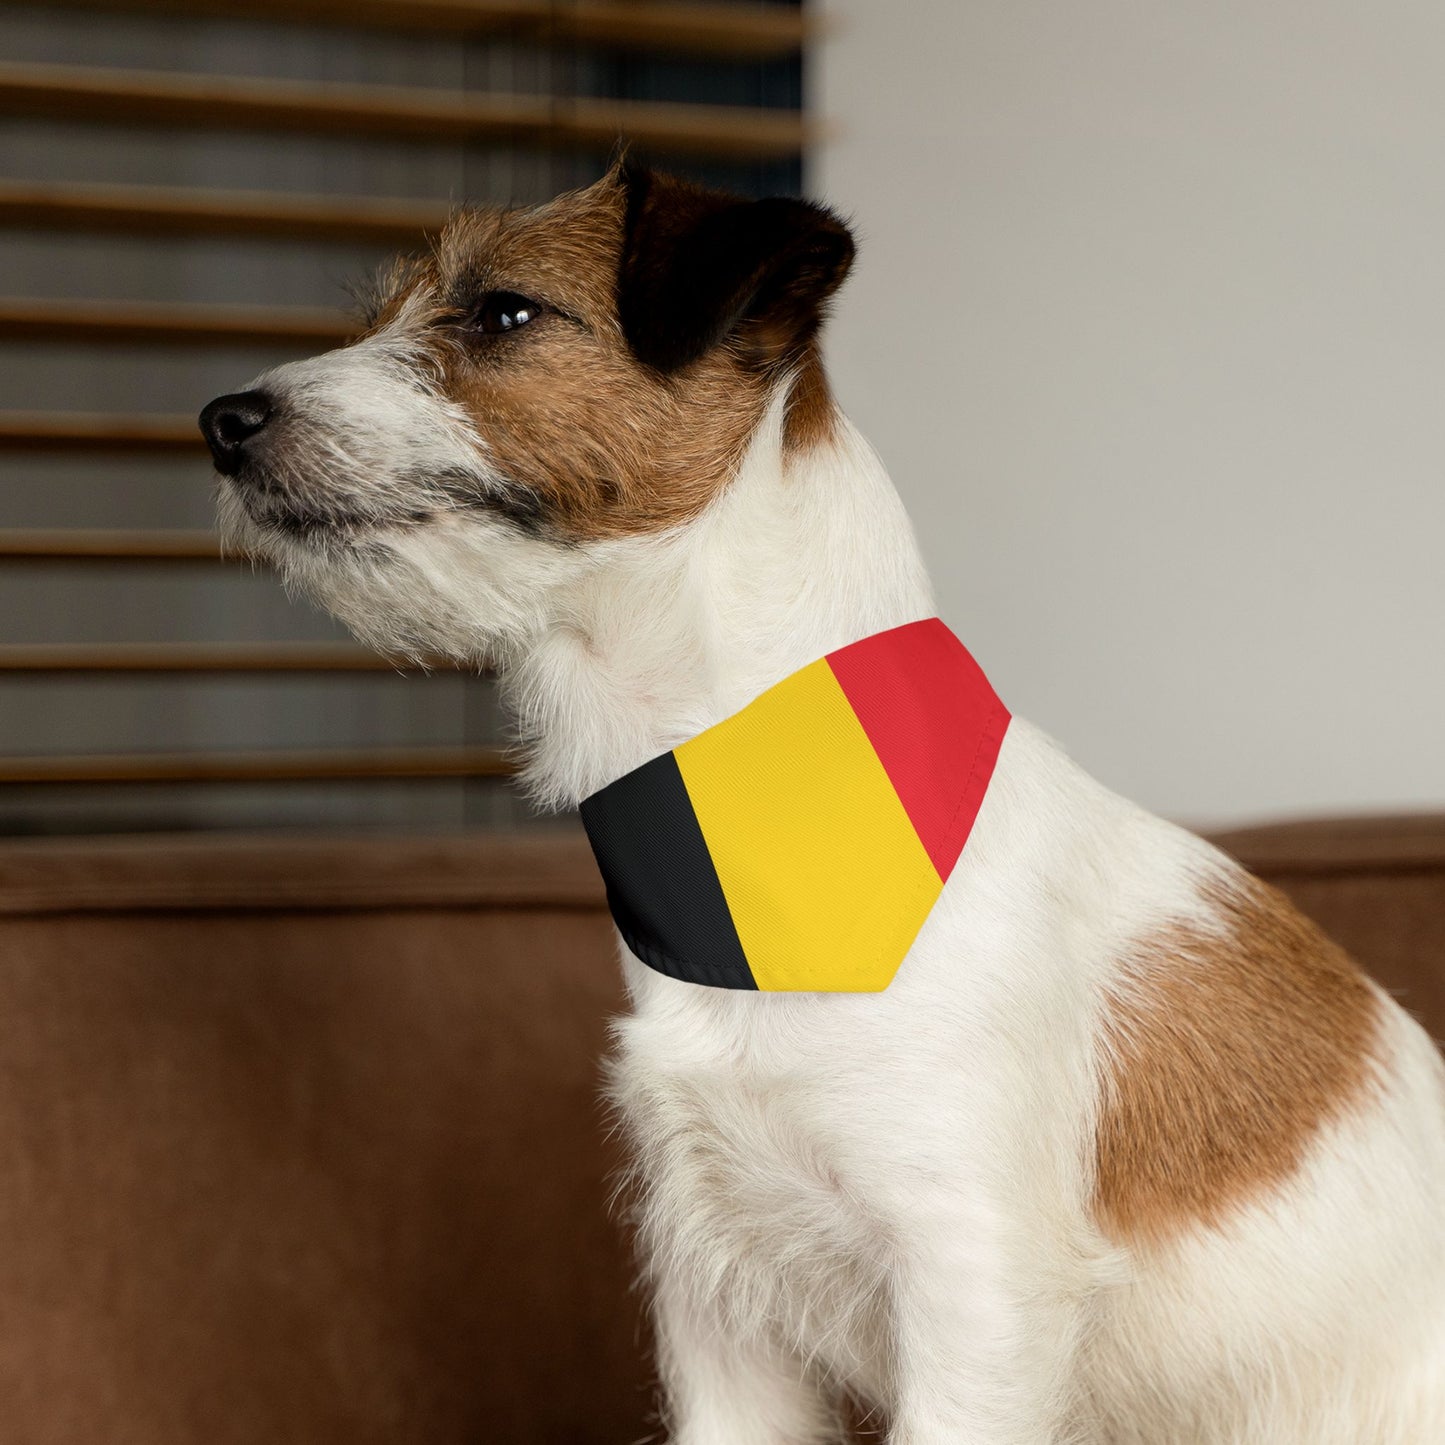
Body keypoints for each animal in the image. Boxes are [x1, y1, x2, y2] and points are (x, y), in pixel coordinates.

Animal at [200, 164, 1445, 1439]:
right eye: (381, 314)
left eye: (503, 312)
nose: (222, 421)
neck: (745, 815)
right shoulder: (717, 1302)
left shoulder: (972, 1290)